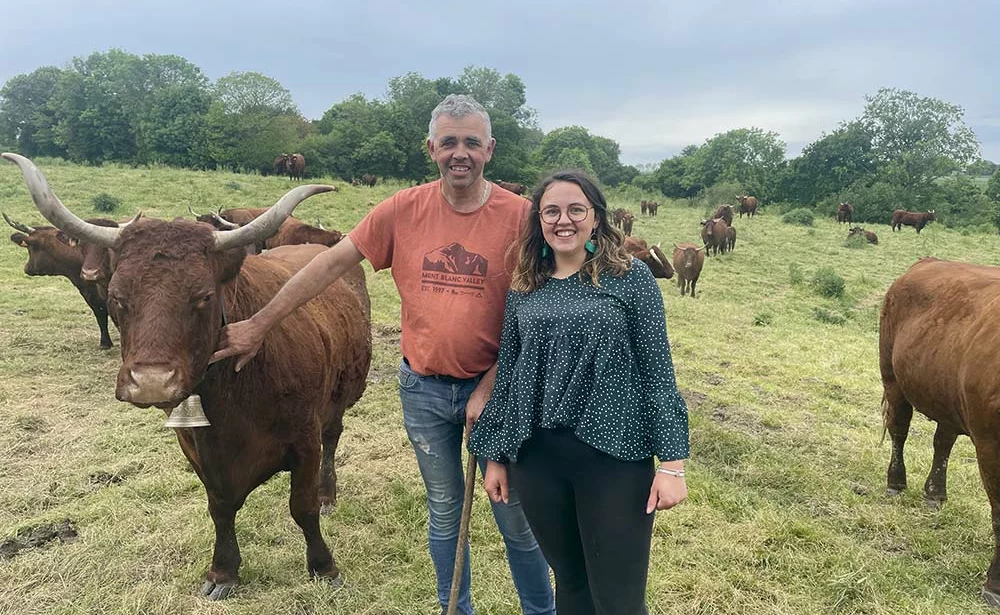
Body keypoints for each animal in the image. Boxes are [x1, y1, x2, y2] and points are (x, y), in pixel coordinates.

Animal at [876, 258, 1000, 608]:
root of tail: (928, 260)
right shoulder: (990, 445)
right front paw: (994, 585)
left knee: (942, 442)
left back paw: (935, 493)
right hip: (892, 377)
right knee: (899, 430)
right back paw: (896, 482)